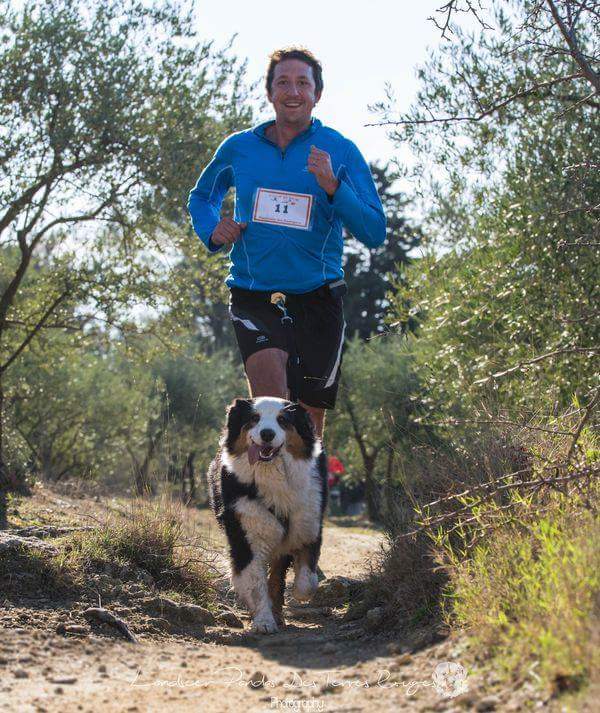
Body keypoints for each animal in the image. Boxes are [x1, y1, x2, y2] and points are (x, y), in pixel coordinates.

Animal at [207, 394, 328, 636]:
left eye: (283, 420)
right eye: (254, 418)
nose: (267, 434)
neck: (272, 476)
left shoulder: (308, 524)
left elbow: (306, 580)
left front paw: (297, 595)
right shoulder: (248, 534)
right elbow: (255, 582)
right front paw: (263, 621)